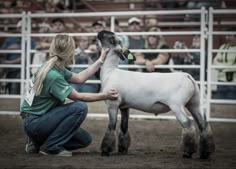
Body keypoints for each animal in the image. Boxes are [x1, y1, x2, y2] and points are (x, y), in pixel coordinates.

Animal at [97, 30, 215, 158]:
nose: (100, 32)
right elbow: (124, 127)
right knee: (204, 125)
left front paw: (105, 150)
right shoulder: (125, 106)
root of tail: (188, 76)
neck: (110, 72)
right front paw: (122, 149)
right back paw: (205, 152)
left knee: (188, 125)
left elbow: (111, 126)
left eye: (111, 38)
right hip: (194, 103)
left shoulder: (112, 104)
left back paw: (188, 152)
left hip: (177, 106)